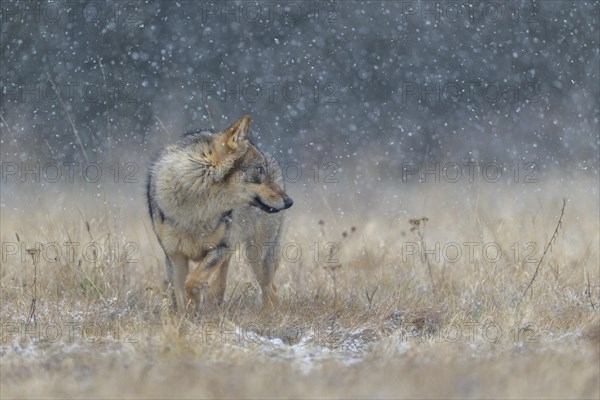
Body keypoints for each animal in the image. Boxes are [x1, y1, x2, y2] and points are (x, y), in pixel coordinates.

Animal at [148, 115, 292, 312]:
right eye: (260, 170)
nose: (290, 202)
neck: (195, 211)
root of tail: (271, 155)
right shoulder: (174, 256)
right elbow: (181, 296)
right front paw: (188, 315)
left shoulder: (220, 247)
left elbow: (191, 282)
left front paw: (195, 303)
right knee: (222, 286)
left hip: (258, 257)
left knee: (270, 290)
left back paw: (268, 315)